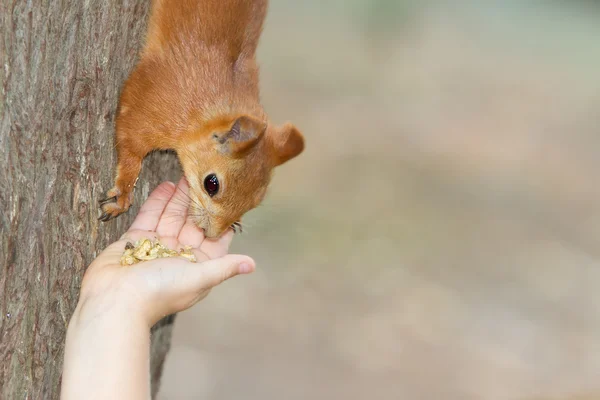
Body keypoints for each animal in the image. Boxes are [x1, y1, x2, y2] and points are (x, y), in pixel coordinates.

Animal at [100, 0, 304, 238]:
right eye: (211, 184)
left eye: (256, 201)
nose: (211, 235)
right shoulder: (149, 104)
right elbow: (130, 142)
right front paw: (123, 194)